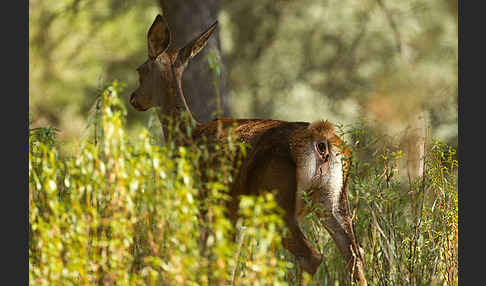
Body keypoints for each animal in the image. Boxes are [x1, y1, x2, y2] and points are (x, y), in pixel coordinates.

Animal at [129, 13, 368, 284]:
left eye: (140, 70)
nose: (133, 98)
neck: (188, 137)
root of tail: (322, 142)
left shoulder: (205, 202)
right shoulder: (234, 214)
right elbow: (230, 261)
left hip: (275, 198)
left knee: (312, 255)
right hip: (334, 200)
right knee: (354, 253)